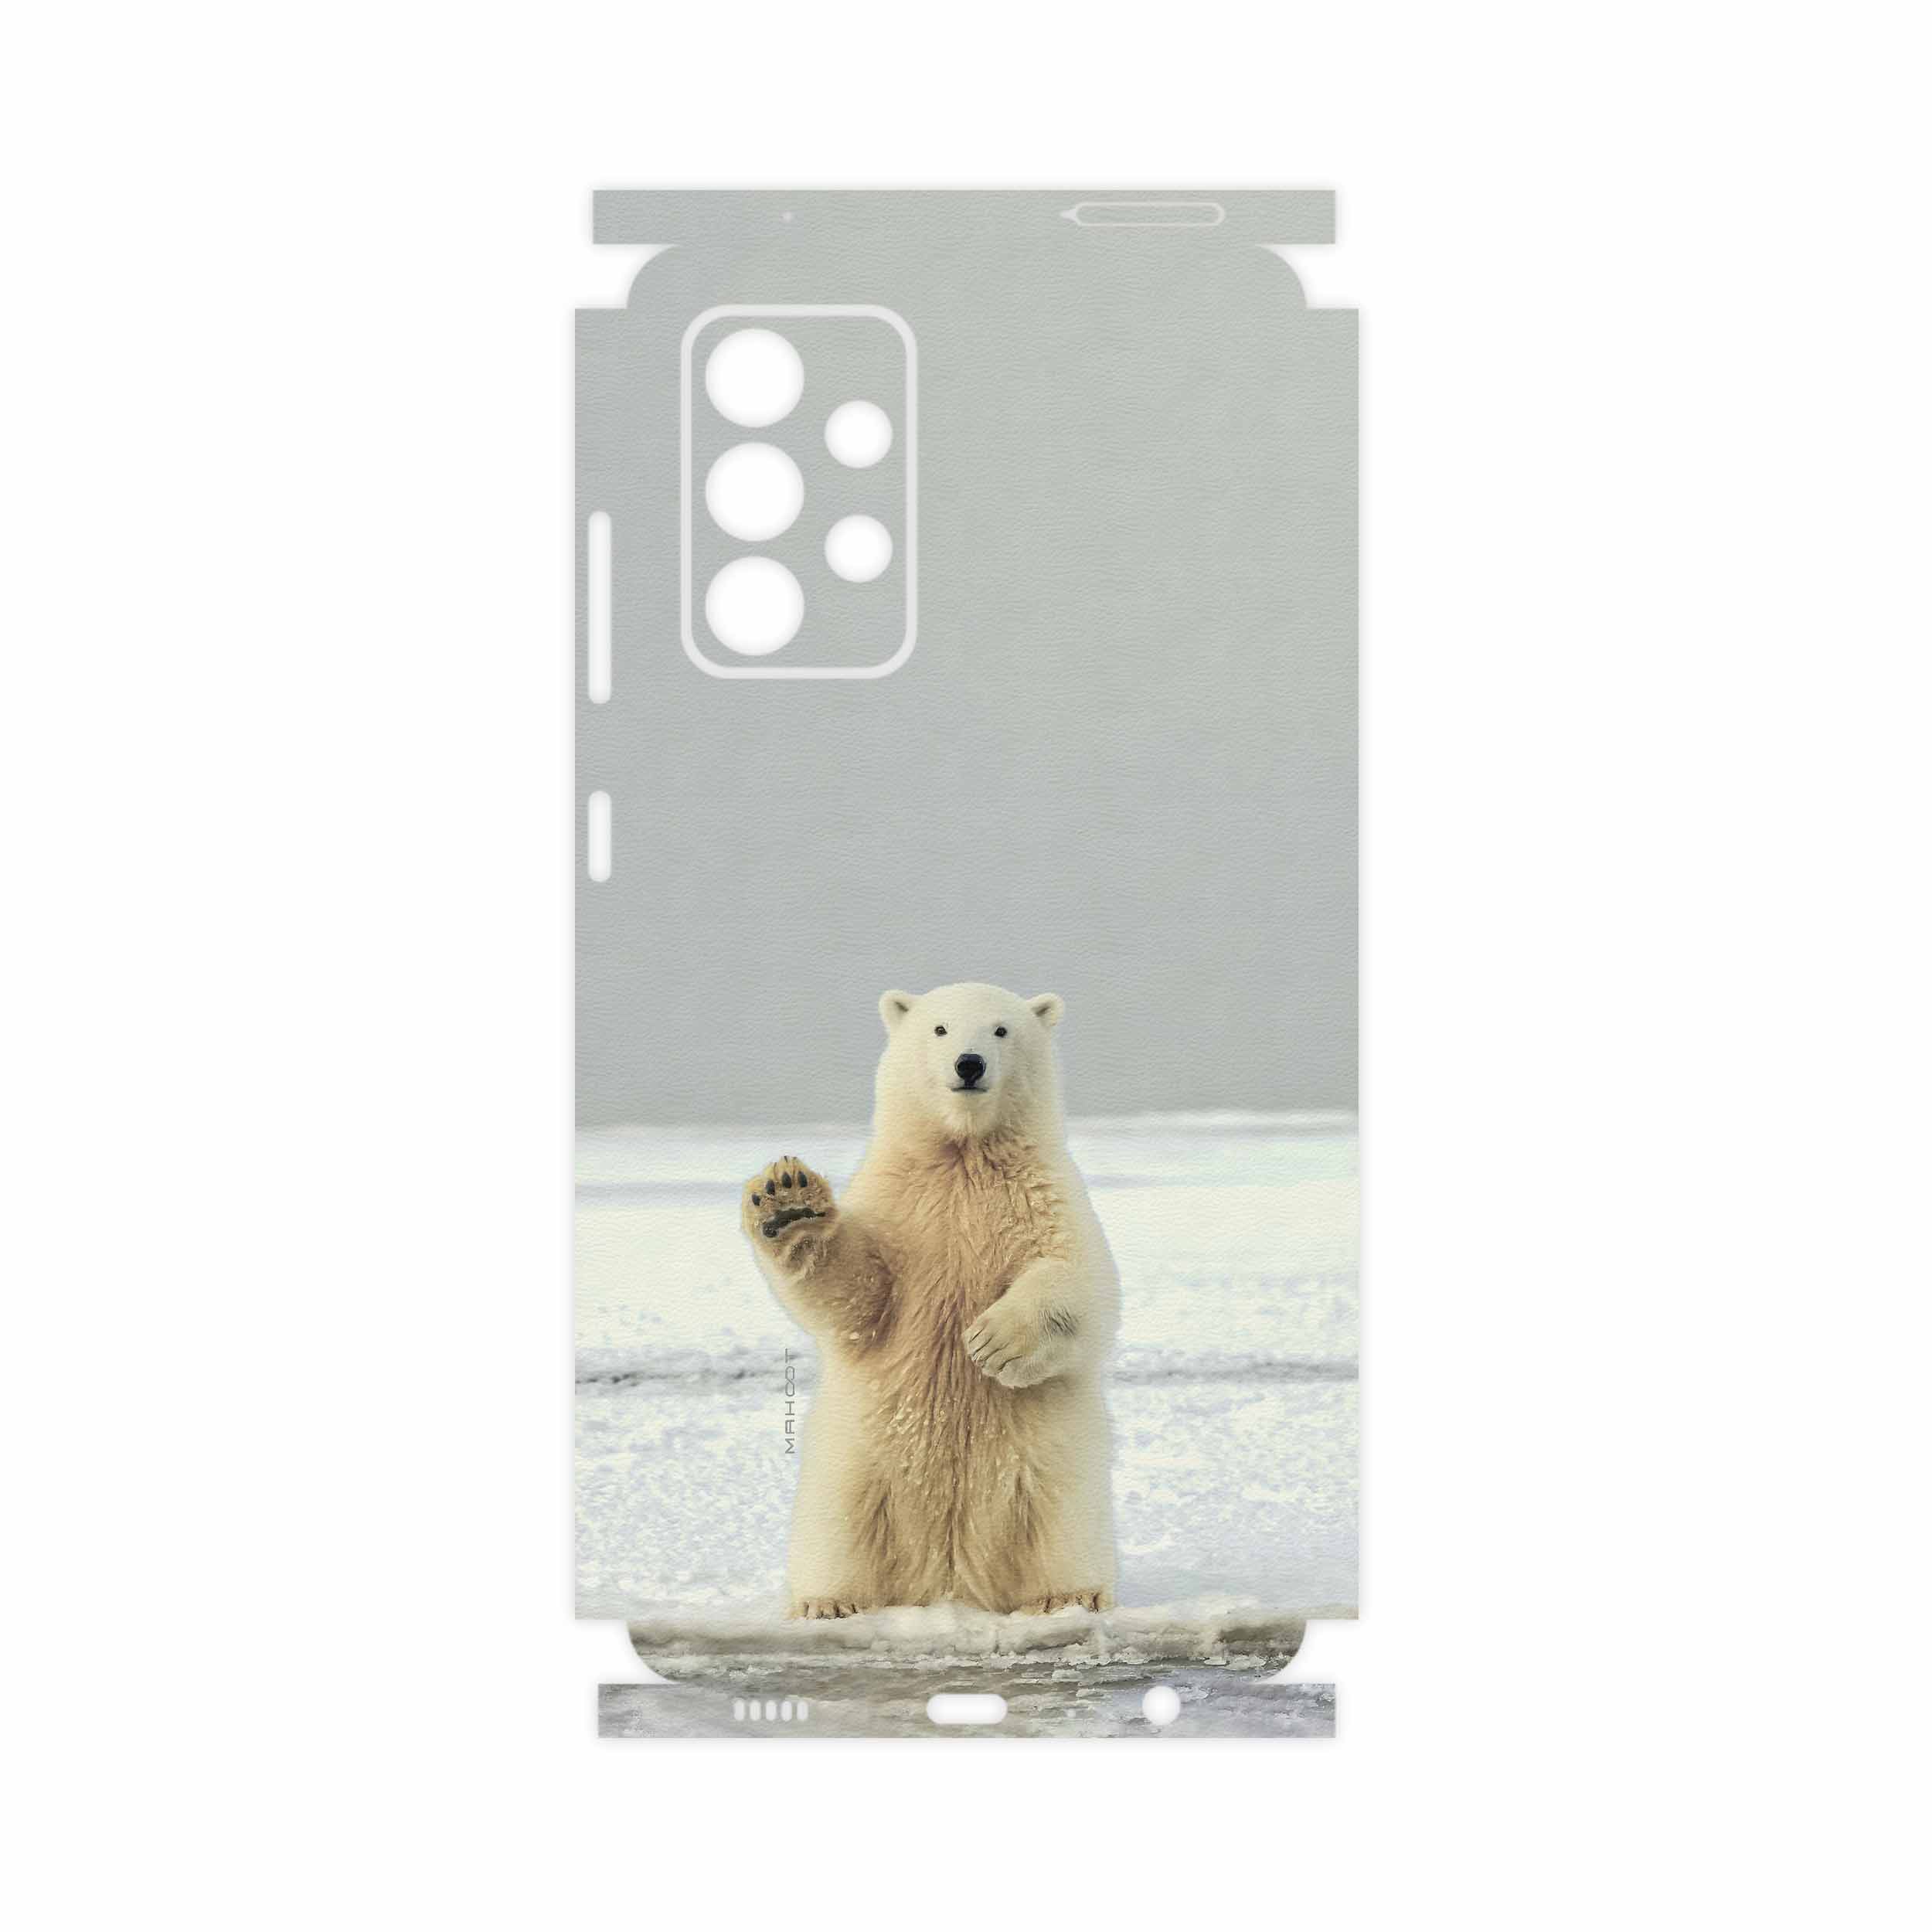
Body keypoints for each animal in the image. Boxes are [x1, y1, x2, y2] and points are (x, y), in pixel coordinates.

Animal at [740, 982, 1120, 1619]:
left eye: (1001, 1030)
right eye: (940, 1028)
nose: (969, 1065)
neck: (963, 1155)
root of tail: (949, 1580)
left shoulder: (1044, 1196)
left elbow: (1081, 1282)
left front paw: (993, 1342)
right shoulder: (901, 1205)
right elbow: (859, 1295)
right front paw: (788, 1203)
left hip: (1053, 1473)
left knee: (1061, 1526)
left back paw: (1068, 1595)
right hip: (855, 1467)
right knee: (838, 1531)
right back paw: (828, 1602)